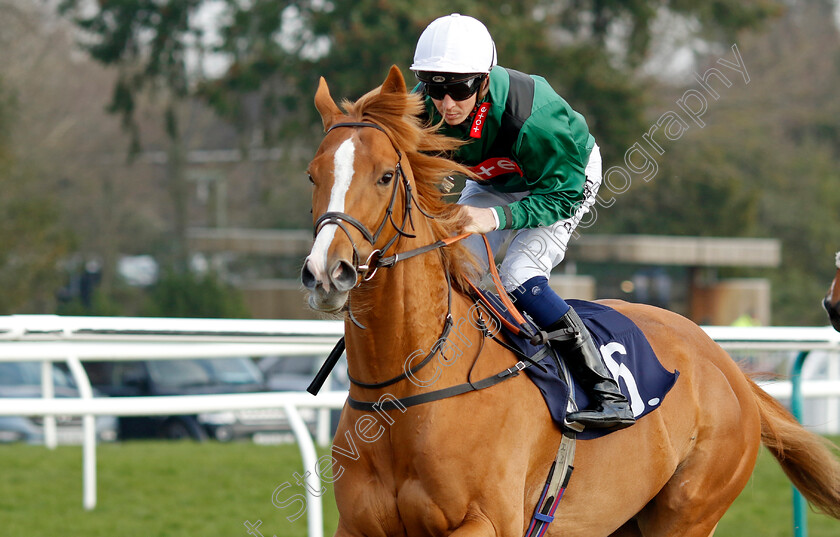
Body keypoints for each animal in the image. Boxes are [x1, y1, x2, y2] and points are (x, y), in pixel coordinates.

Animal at [302, 67, 840, 536]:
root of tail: (726, 365)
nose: (327, 272)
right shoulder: (356, 526)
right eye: (312, 175)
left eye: (385, 176)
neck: (410, 388)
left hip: (689, 512)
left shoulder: (488, 521)